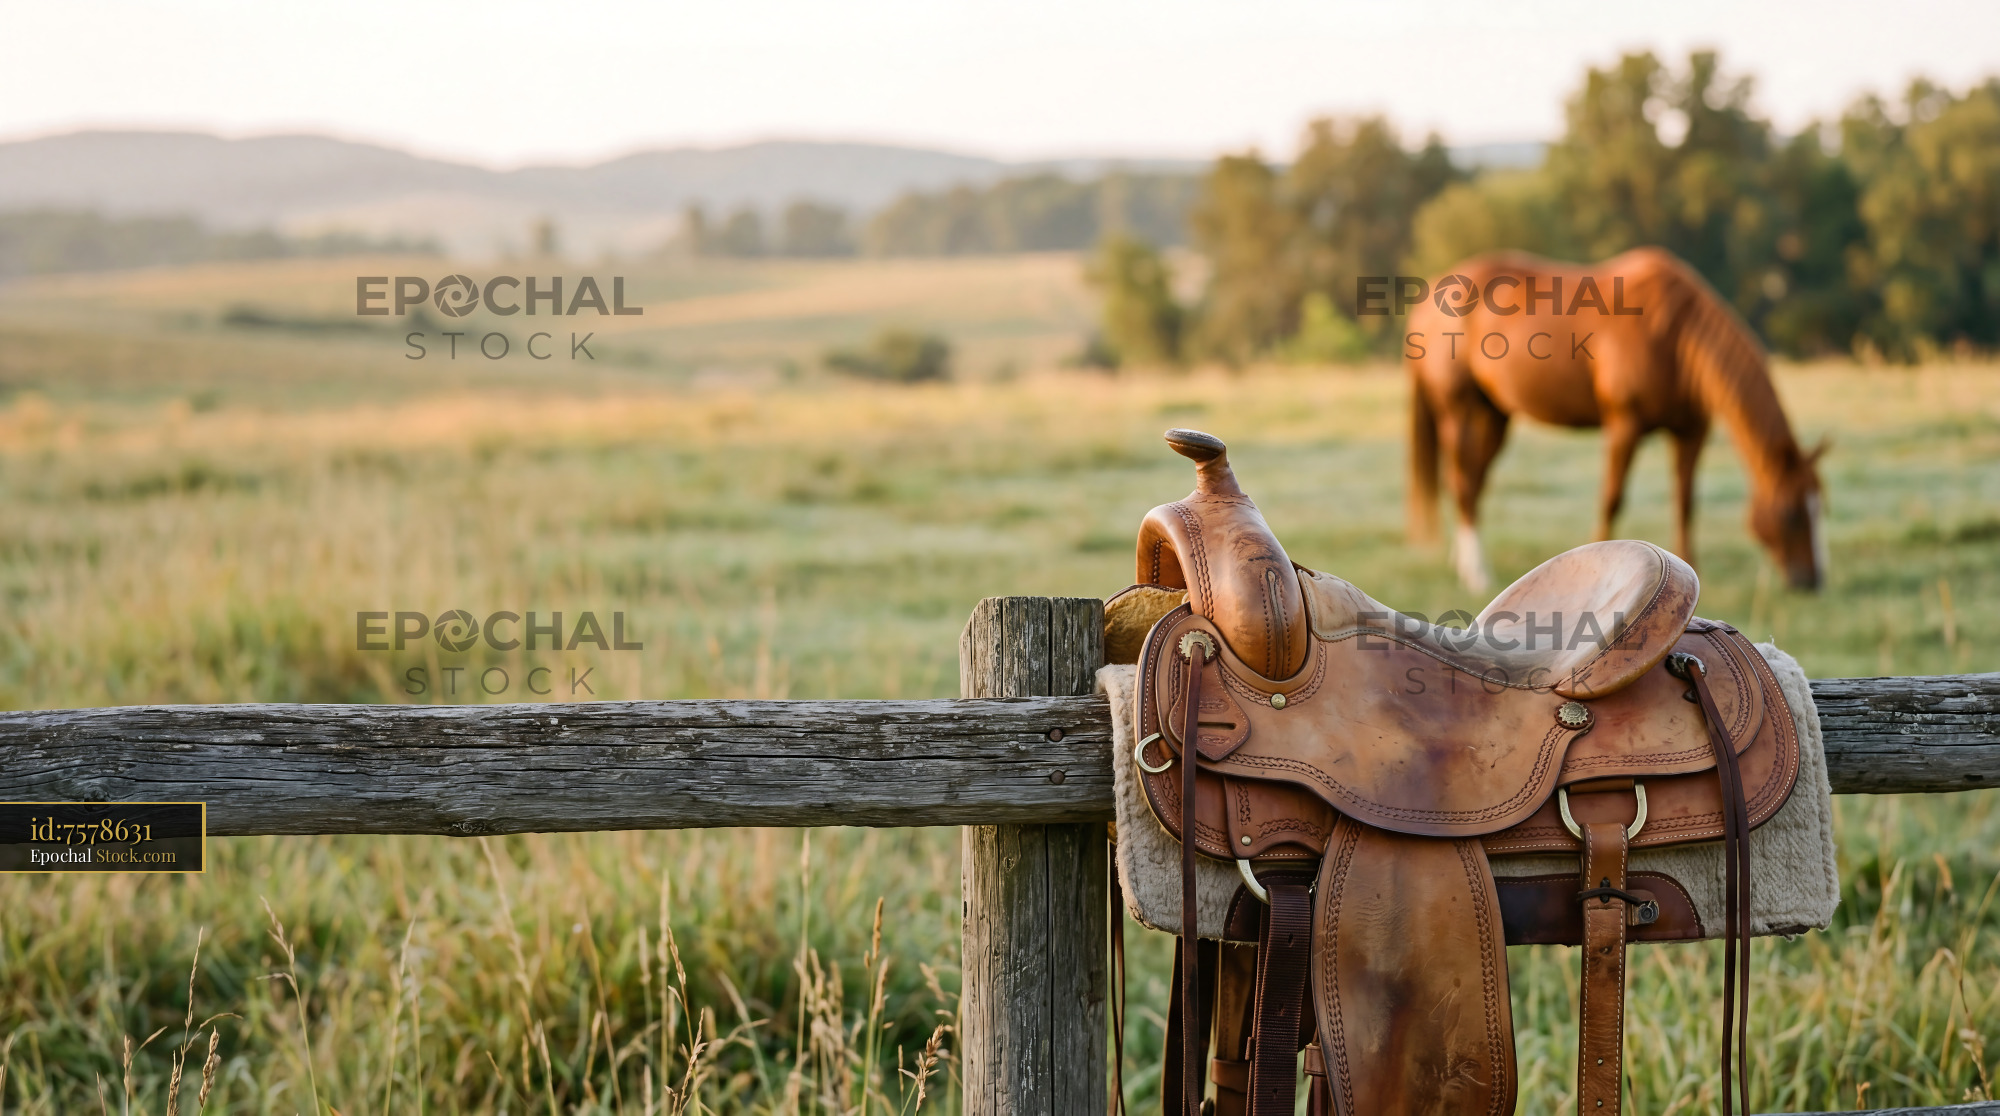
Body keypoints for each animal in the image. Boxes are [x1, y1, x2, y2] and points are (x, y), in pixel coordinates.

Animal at [1404, 247, 1827, 594]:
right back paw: (1476, 575)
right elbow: (1612, 498)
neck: (1674, 337)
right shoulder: (1625, 425)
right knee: (1462, 483)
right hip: (1459, 412)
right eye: (1791, 514)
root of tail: (1431, 296)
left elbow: (1685, 503)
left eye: (1820, 506)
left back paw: (1462, 565)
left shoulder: (1691, 432)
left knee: (1472, 483)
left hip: (1494, 416)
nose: (1813, 582)